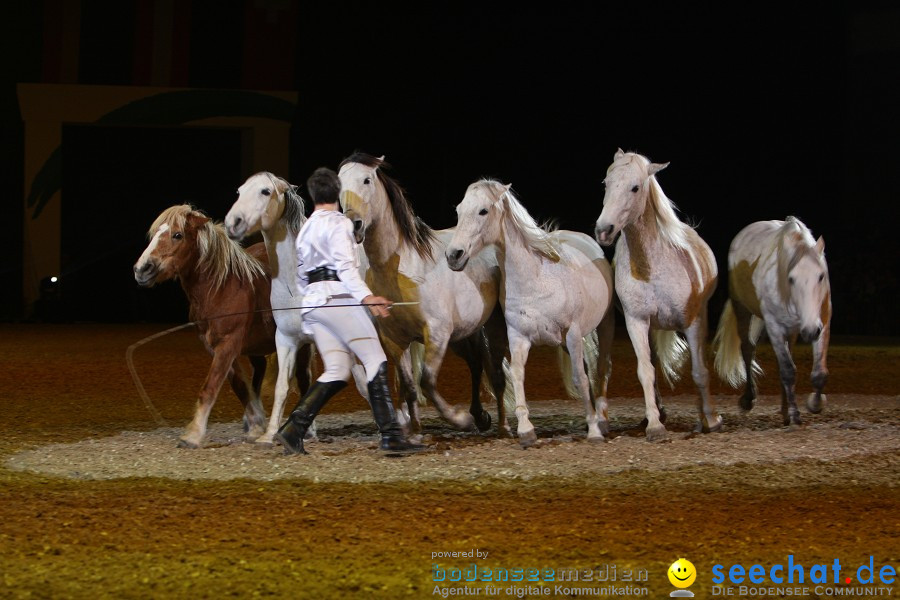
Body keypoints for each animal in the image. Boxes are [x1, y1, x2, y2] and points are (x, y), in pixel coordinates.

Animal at [338, 155, 510, 436]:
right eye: (339, 183)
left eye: (367, 179)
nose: (355, 225)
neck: (402, 268)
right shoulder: (395, 340)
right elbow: (409, 385)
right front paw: (414, 429)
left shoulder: (437, 334)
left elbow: (427, 382)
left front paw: (459, 419)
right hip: (464, 334)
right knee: (475, 364)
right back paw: (480, 415)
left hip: (488, 327)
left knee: (494, 372)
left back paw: (501, 424)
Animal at [446, 178, 616, 446]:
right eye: (459, 210)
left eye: (483, 211)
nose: (453, 255)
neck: (537, 281)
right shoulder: (518, 338)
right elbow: (517, 375)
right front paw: (526, 430)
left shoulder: (573, 333)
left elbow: (580, 377)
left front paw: (593, 430)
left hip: (604, 325)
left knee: (600, 369)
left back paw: (602, 420)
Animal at [596, 150, 724, 440]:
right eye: (606, 184)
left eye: (635, 187)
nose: (603, 230)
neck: (651, 265)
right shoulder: (637, 322)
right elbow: (646, 371)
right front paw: (654, 425)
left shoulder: (693, 322)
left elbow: (699, 370)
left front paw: (711, 420)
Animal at [712, 217, 832, 426]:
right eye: (791, 279)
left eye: (821, 276)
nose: (810, 331)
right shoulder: (775, 327)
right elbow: (788, 371)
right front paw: (794, 414)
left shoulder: (822, 323)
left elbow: (818, 373)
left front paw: (815, 404)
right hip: (742, 308)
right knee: (747, 349)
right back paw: (749, 399)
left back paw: (784, 409)